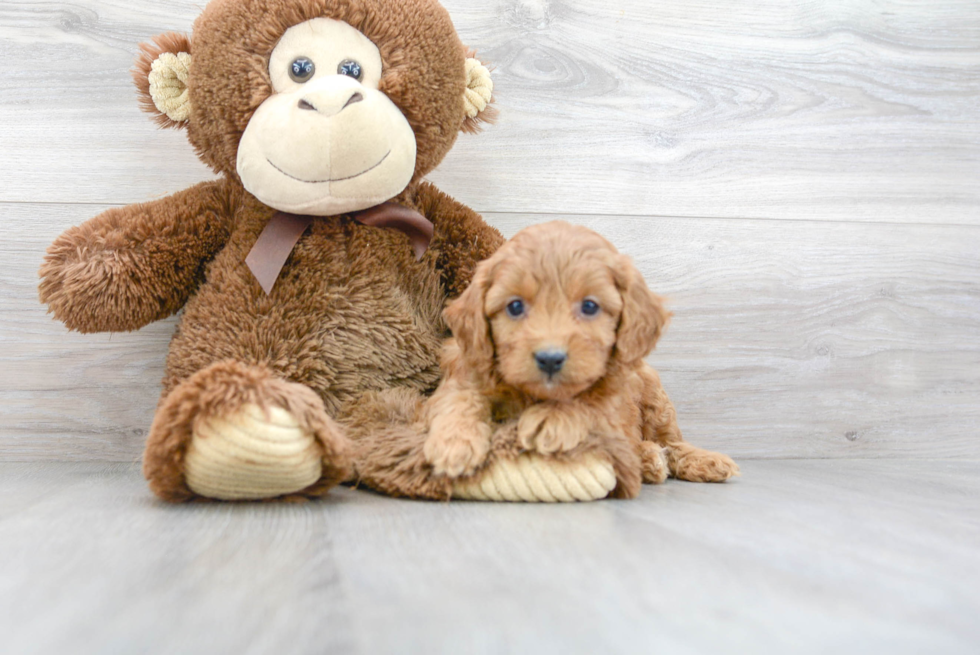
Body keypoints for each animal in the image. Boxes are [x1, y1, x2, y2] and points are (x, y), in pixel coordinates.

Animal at [424, 220, 740, 492]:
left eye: (589, 306)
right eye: (515, 306)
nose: (550, 359)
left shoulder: (615, 394)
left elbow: (592, 404)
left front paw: (552, 419)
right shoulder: (465, 366)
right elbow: (459, 398)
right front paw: (454, 442)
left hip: (653, 392)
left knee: (670, 441)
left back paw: (698, 460)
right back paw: (650, 459)